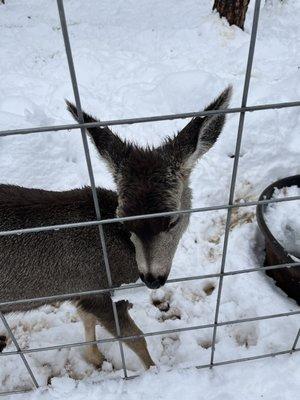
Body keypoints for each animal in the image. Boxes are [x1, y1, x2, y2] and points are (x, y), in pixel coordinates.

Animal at [0, 86, 232, 372]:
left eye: (172, 221)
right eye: (123, 222)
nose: (151, 279)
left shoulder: (86, 293)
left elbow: (87, 319)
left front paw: (95, 359)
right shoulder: (96, 289)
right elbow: (135, 338)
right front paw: (153, 370)